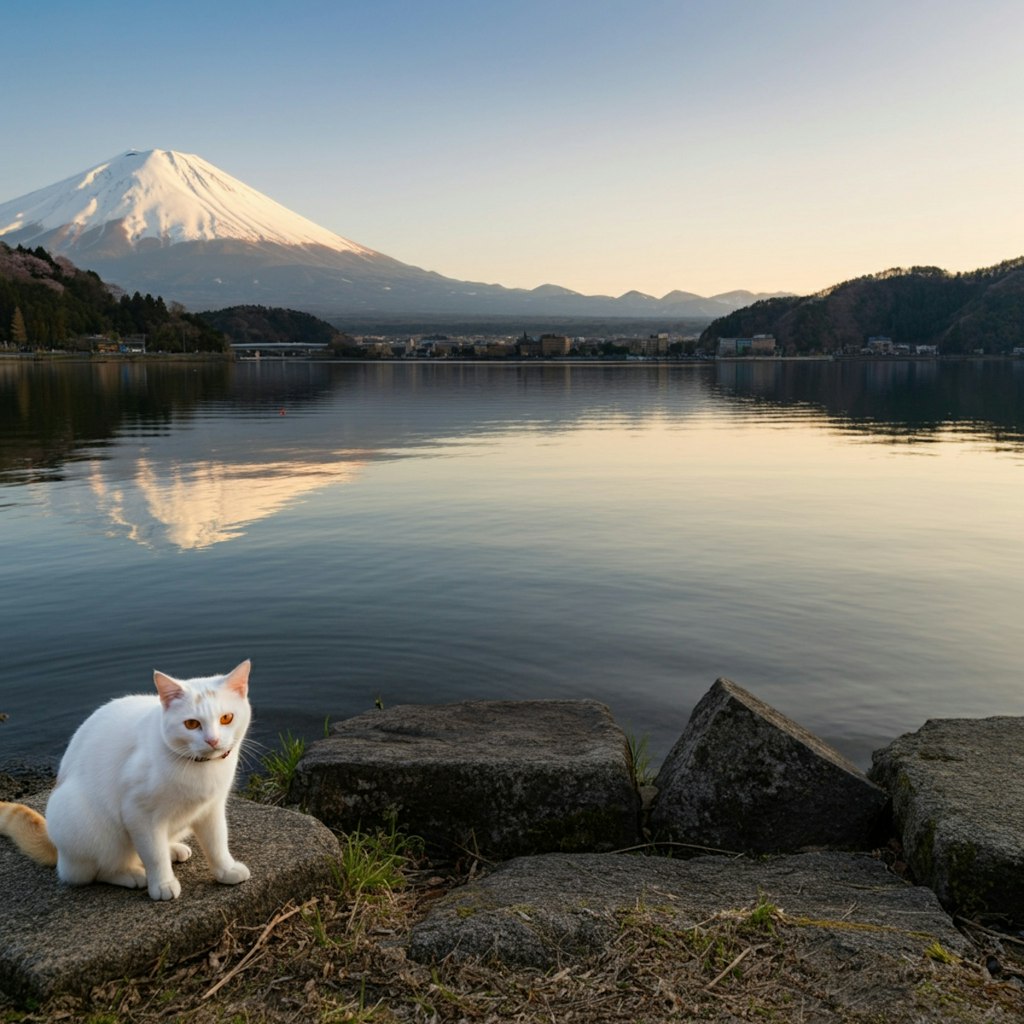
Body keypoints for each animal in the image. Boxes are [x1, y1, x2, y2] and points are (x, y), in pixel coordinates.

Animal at [0, 659, 253, 901]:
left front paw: (226, 870)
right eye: (191, 724)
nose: (213, 740)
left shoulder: (211, 808)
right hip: (89, 824)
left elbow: (217, 843)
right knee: (96, 871)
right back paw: (132, 874)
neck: (200, 767)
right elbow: (154, 855)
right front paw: (162, 884)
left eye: (226, 718)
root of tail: (58, 850)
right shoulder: (139, 813)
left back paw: (172, 849)